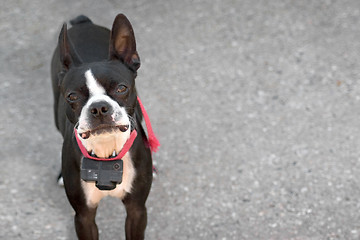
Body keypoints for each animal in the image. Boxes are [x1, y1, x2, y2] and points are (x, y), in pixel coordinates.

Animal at [50, 14, 159, 239]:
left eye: (121, 88)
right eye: (72, 96)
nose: (99, 107)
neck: (107, 151)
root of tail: (84, 22)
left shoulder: (137, 210)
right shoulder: (84, 216)